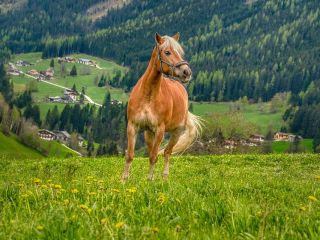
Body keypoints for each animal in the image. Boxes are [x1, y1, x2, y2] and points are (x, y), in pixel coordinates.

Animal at [122, 32, 202, 181]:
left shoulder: (160, 130)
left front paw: (150, 180)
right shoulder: (132, 126)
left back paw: (165, 178)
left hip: (176, 132)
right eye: (167, 52)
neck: (148, 96)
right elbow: (130, 155)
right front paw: (124, 180)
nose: (186, 72)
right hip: (148, 133)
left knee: (167, 152)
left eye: (179, 52)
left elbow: (154, 157)